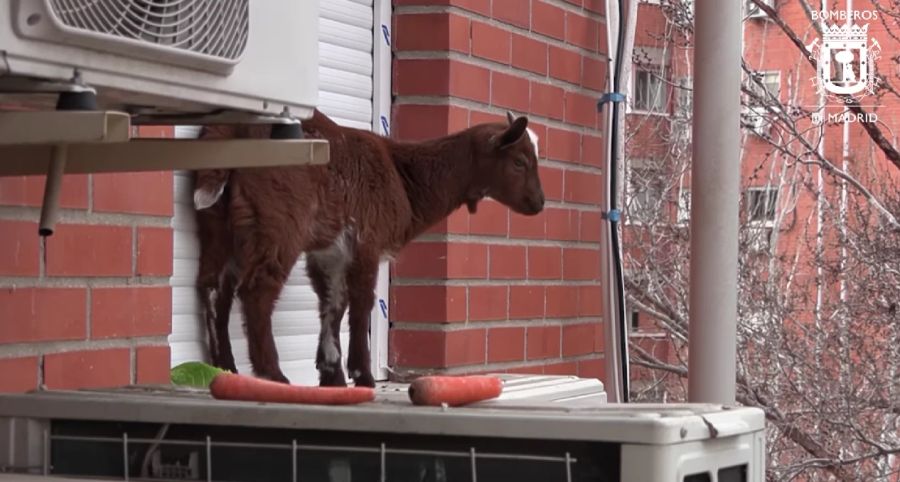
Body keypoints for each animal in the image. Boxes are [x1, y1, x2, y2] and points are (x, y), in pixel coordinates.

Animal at [192, 110, 540, 388]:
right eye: (519, 162)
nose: (539, 203)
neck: (404, 174)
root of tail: (233, 130)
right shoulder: (366, 241)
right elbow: (361, 304)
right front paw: (362, 375)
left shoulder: (331, 251)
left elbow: (333, 303)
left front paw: (331, 374)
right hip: (280, 217)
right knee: (257, 289)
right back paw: (272, 374)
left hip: (218, 219)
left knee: (213, 286)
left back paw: (223, 367)